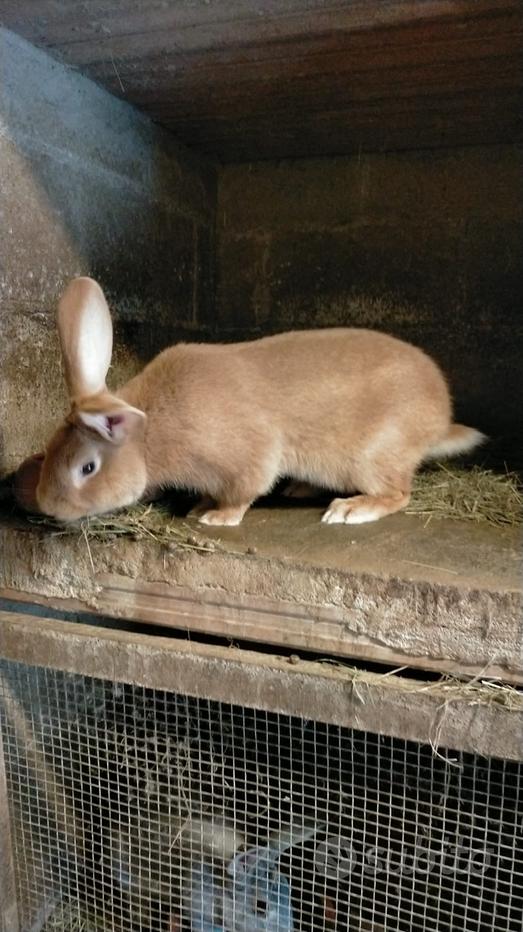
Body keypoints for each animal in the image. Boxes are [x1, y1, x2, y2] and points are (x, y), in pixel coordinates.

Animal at [34, 274, 486, 524]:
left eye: (87, 468)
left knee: (398, 494)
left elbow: (245, 490)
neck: (149, 436)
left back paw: (351, 510)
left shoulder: (248, 459)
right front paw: (199, 506)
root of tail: (439, 418)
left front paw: (215, 517)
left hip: (373, 457)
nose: (47, 506)